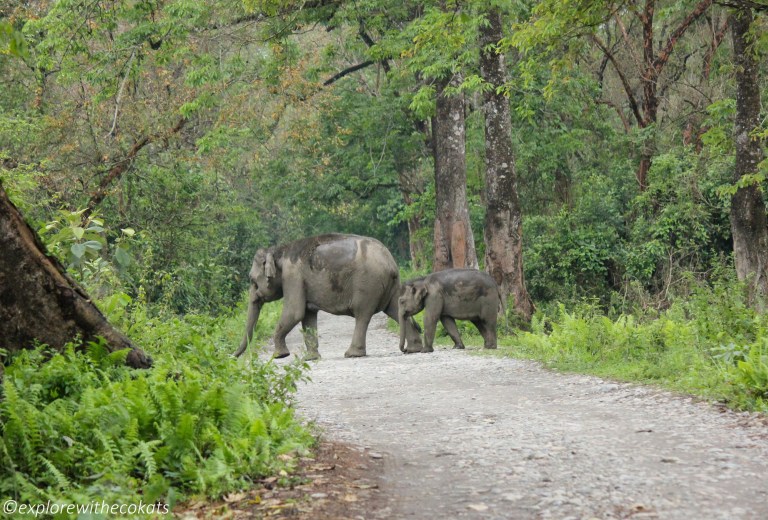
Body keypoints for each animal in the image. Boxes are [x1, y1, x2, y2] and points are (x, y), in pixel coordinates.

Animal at [236, 234, 426, 360]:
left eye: (252, 280)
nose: (233, 356)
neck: (279, 251)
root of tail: (390, 262)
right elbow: (307, 317)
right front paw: (310, 359)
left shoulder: (292, 277)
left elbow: (294, 312)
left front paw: (279, 356)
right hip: (389, 285)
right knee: (395, 309)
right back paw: (413, 349)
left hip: (367, 284)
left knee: (362, 315)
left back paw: (352, 354)